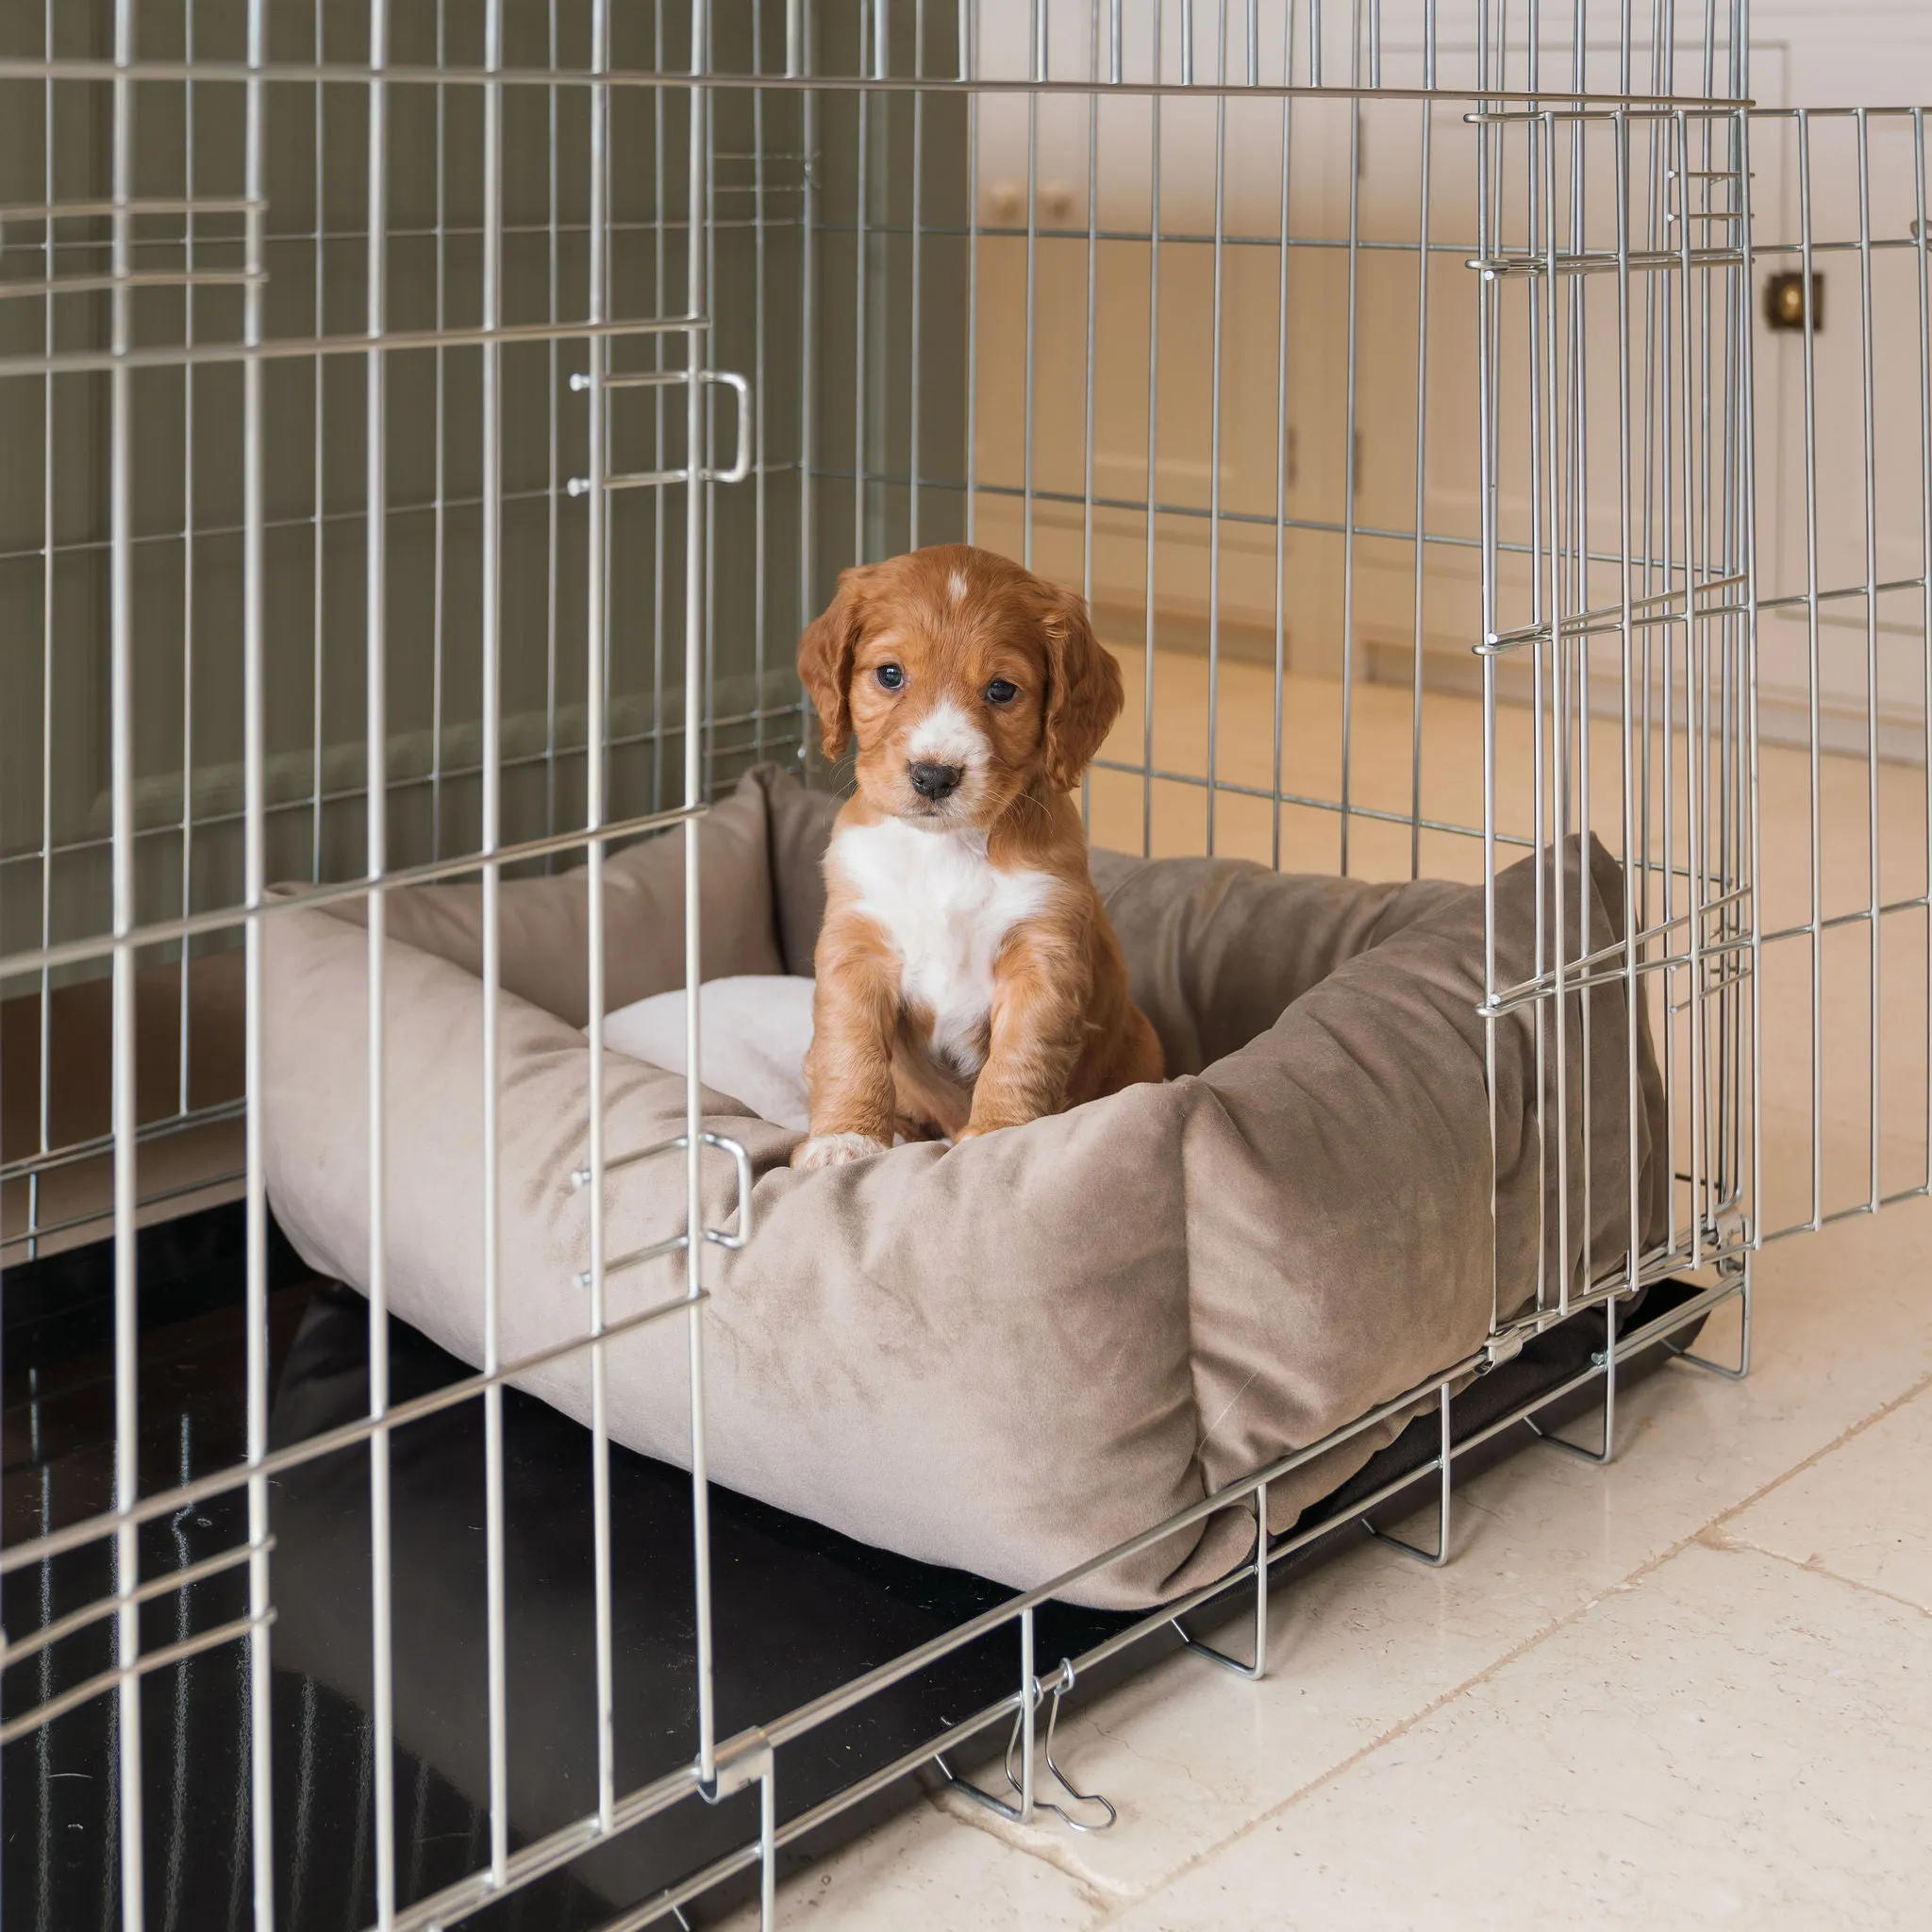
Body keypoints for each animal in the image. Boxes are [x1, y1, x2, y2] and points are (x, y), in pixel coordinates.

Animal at [788, 544, 1158, 1174]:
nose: (933, 776)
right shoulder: (857, 943)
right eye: (890, 675)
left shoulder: (1043, 952)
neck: (946, 847)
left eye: (1002, 690)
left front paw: (998, 1134)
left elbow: (1022, 1053)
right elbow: (849, 1045)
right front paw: (846, 1136)